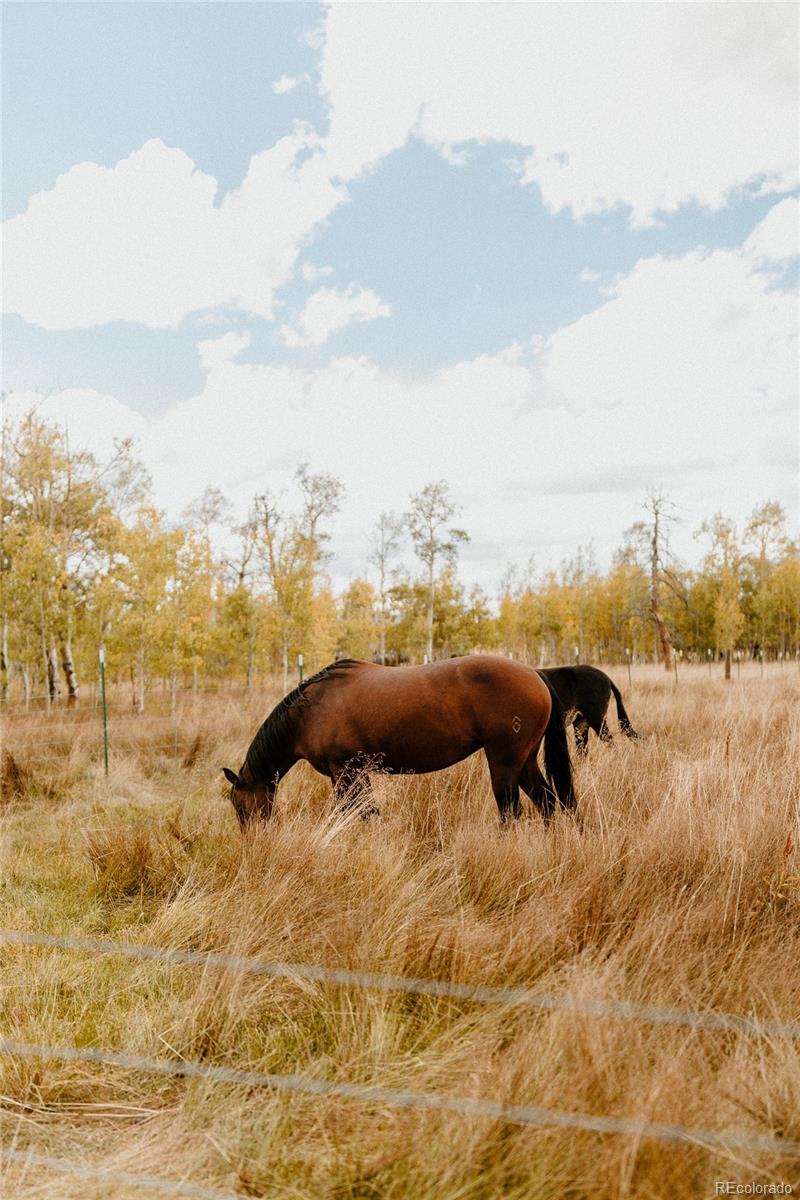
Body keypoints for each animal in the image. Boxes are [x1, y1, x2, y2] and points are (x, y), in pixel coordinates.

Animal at [224, 657, 575, 825]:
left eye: (240, 807)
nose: (254, 843)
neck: (311, 709)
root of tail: (535, 675)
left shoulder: (345, 774)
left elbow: (360, 814)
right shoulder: (357, 774)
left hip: (504, 763)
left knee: (511, 812)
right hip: (525, 761)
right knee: (547, 803)